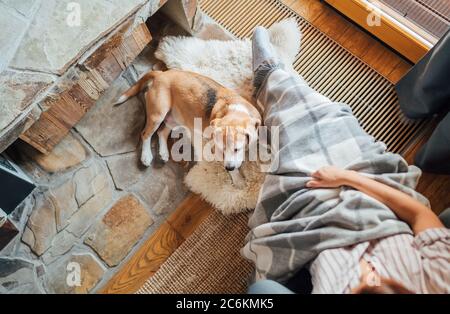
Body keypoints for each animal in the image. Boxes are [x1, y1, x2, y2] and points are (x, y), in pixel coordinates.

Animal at [112, 69, 262, 186]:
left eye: (237, 149)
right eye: (222, 150)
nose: (228, 168)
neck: (235, 111)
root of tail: (161, 74)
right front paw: (238, 180)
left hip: (175, 119)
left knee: (161, 132)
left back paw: (164, 153)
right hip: (158, 114)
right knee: (145, 134)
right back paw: (146, 156)